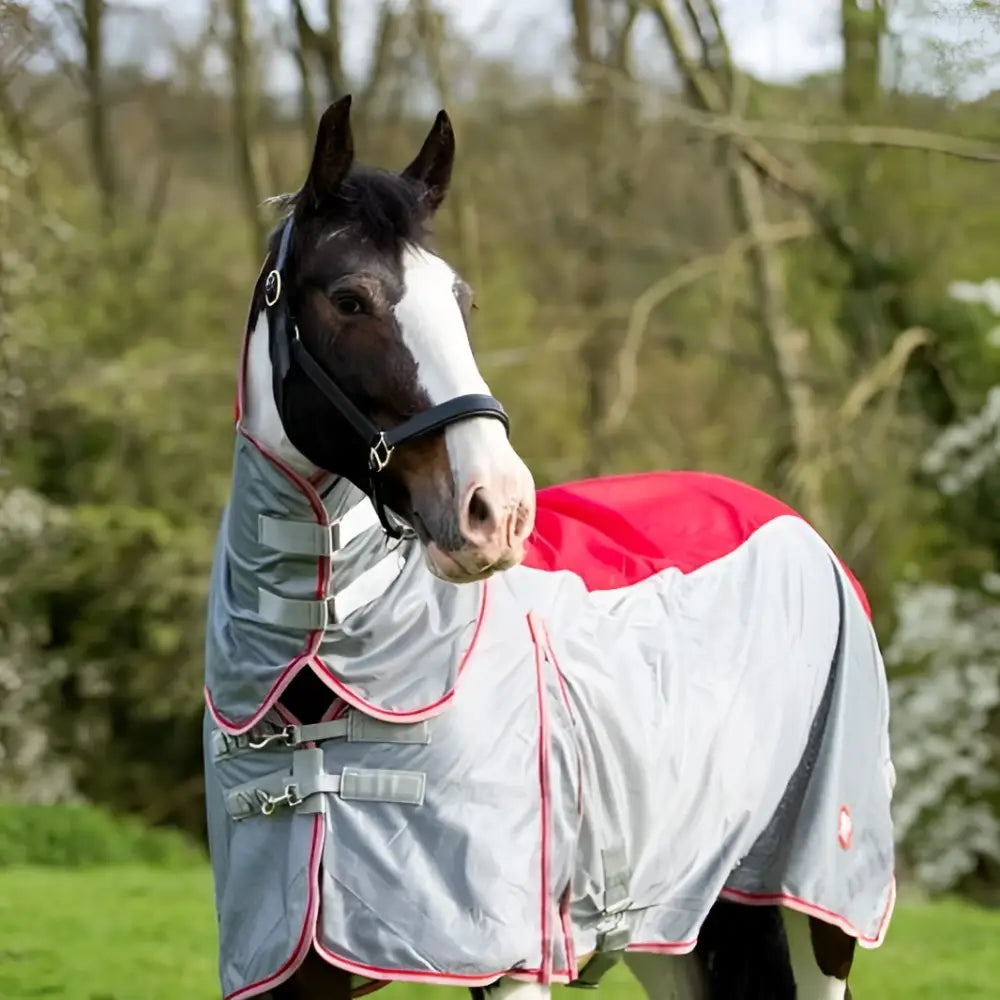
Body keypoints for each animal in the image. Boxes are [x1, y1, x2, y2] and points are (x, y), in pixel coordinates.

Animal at [202, 97, 896, 1000]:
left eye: (460, 301)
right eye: (351, 299)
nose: (496, 507)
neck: (324, 668)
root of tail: (796, 527)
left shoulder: (506, 956)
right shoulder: (284, 965)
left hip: (819, 902)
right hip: (671, 922)